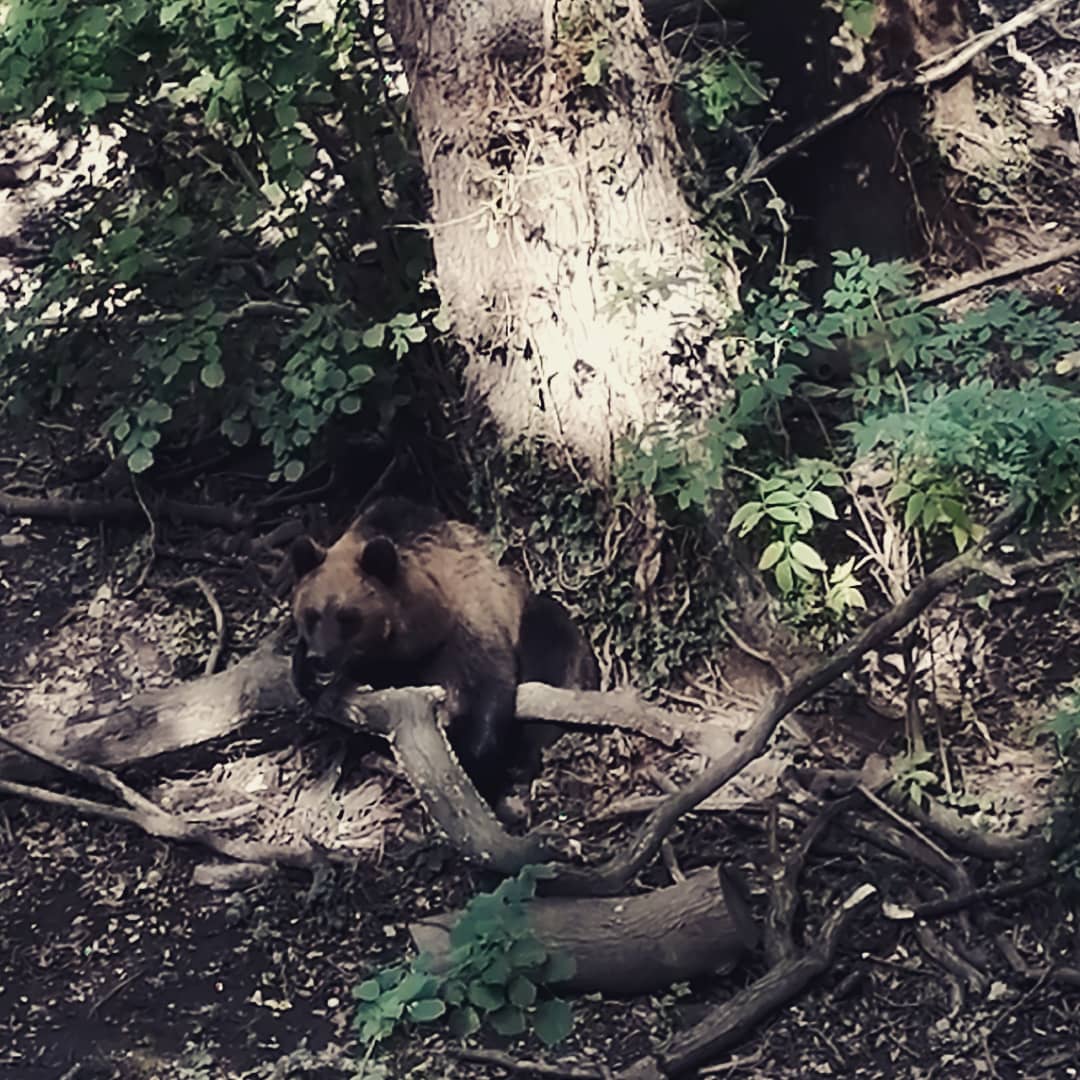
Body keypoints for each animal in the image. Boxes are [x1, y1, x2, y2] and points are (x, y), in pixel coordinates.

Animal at [290, 497, 597, 802]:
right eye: (311, 614)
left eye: (348, 617)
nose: (320, 657)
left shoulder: (466, 626)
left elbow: (486, 689)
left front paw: (471, 759)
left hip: (536, 622)